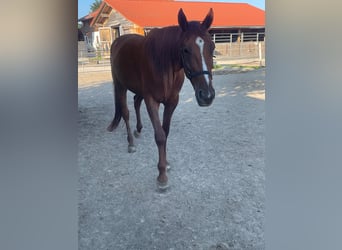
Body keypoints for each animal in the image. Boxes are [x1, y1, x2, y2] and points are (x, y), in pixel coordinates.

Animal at [107, 8, 215, 189]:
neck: (163, 63)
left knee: (136, 102)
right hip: (120, 85)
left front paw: (166, 163)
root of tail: (118, 41)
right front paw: (162, 175)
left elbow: (166, 131)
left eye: (212, 47)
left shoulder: (172, 102)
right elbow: (160, 136)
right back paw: (131, 143)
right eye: (185, 49)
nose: (206, 96)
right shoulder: (152, 101)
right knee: (125, 112)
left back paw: (138, 129)